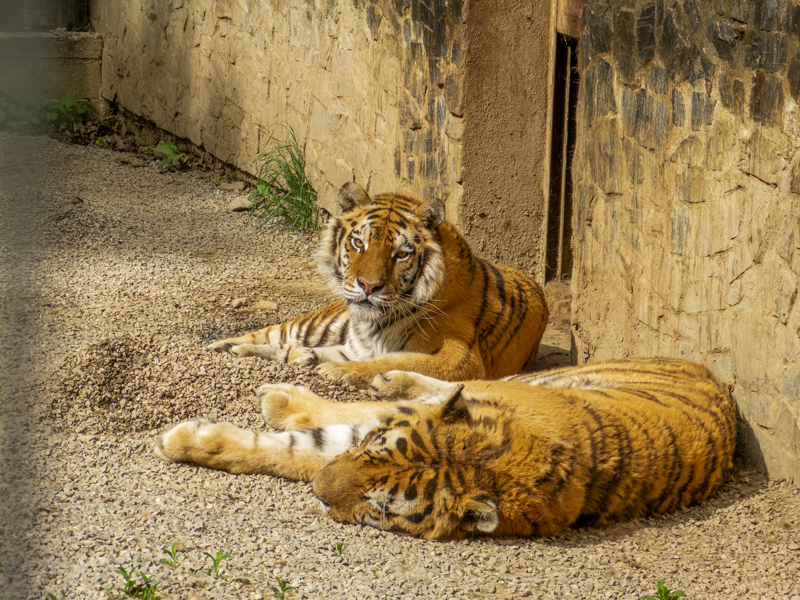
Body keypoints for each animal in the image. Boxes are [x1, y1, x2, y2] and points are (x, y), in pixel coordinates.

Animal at [154, 358, 737, 540]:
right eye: (374, 451)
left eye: (379, 506)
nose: (321, 493)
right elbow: (329, 429)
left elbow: (304, 449)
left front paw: (185, 439)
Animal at [208, 182, 548, 386]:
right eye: (359, 243)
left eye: (401, 254)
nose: (369, 287)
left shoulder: (463, 360)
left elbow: (393, 361)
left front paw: (334, 369)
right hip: (316, 323)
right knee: (270, 333)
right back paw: (223, 346)